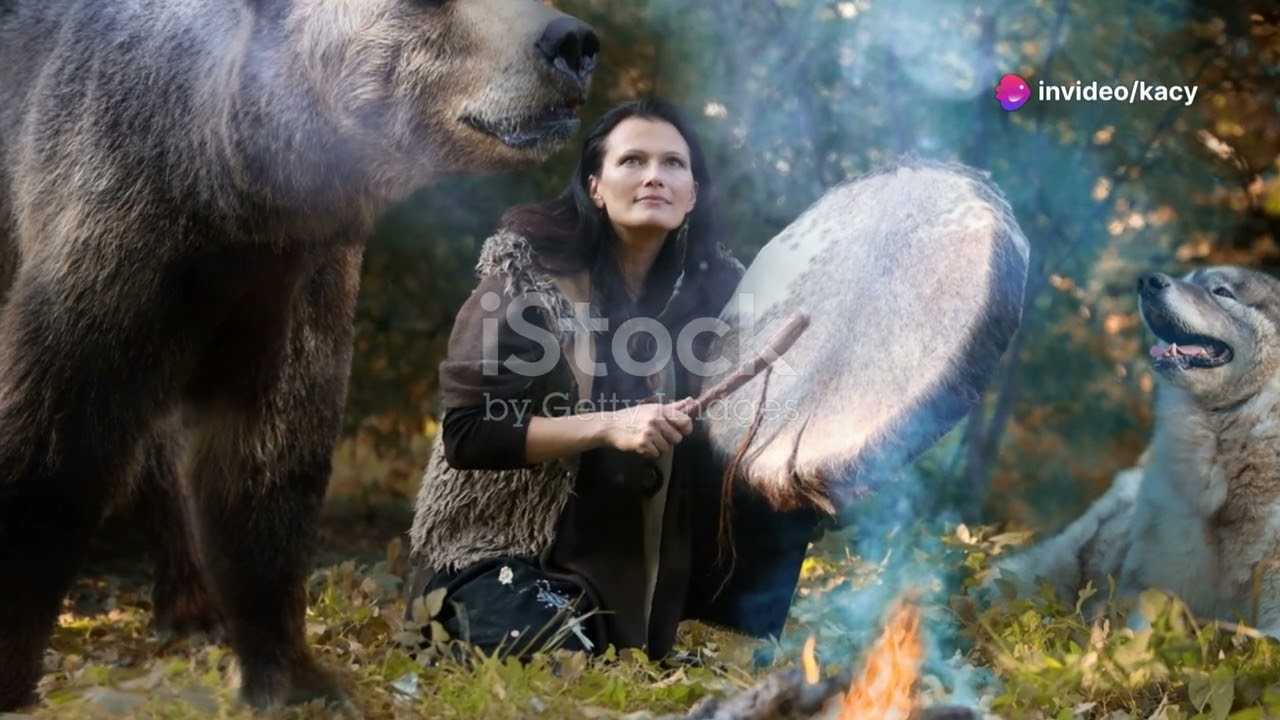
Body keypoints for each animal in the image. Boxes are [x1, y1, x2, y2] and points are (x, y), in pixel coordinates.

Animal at [0, 0, 596, 711]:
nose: (572, 42)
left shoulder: (295, 277)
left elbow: (267, 458)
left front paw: (295, 676)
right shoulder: (117, 224)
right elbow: (51, 437)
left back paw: (194, 610)